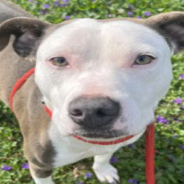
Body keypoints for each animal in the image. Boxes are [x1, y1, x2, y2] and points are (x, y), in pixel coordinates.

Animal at [0, 0, 184, 184]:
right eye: (58, 60)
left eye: (143, 59)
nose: (91, 110)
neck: (90, 142)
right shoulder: (39, 165)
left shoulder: (111, 143)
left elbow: (104, 156)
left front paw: (103, 170)